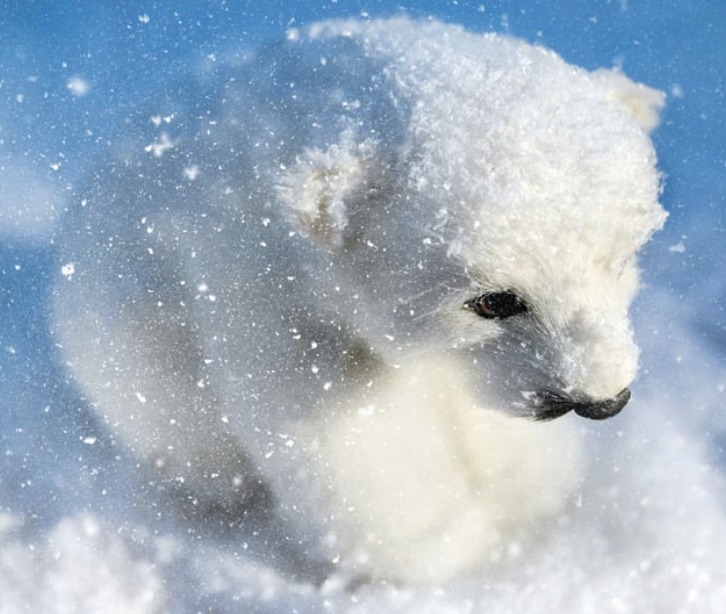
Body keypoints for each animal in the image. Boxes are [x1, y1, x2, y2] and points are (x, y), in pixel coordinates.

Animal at [52, 18, 666, 583]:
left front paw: (528, 499)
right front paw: (446, 545)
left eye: (619, 259)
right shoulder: (269, 295)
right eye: (493, 301)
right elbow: (349, 438)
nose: (603, 400)